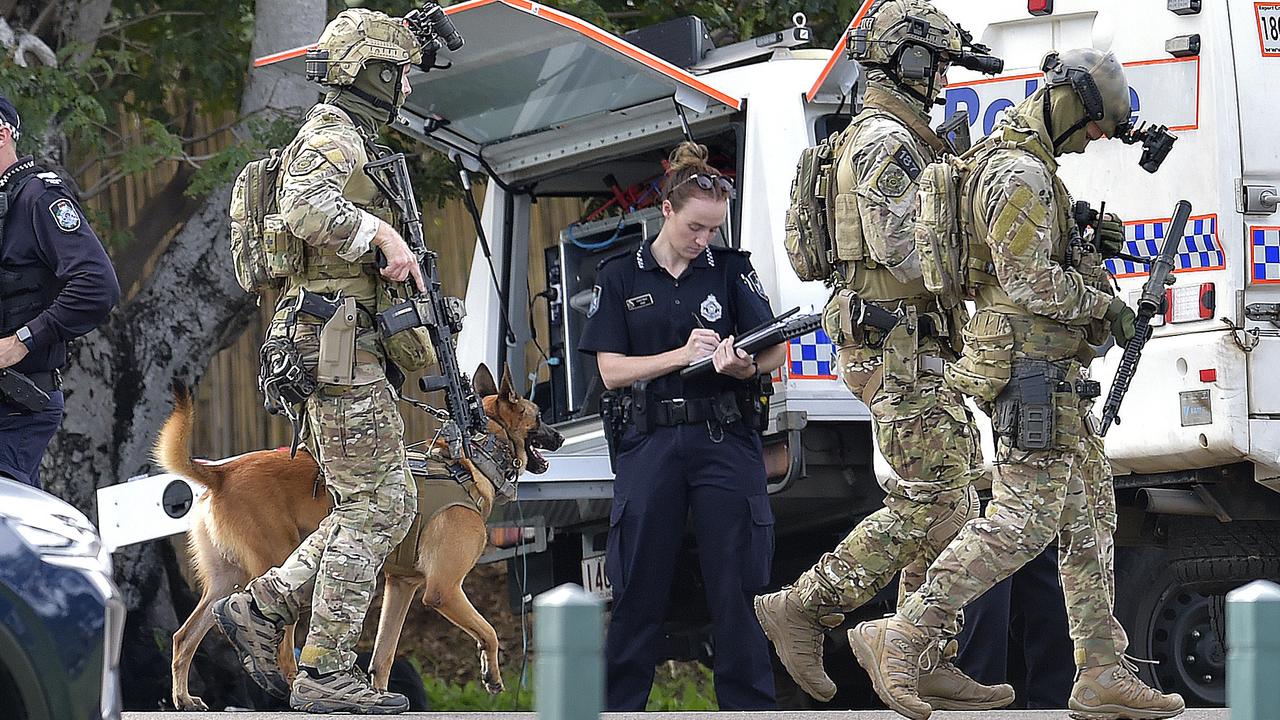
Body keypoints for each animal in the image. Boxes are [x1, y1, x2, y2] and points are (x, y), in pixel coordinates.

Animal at [160, 366, 560, 707]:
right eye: (539, 416)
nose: (558, 436)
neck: (468, 461)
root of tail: (221, 473)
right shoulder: (443, 590)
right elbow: (488, 631)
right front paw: (492, 675)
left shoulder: (401, 587)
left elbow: (384, 653)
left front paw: (379, 695)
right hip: (280, 567)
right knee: (280, 640)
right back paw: (293, 690)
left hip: (225, 582)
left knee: (184, 637)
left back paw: (184, 698)